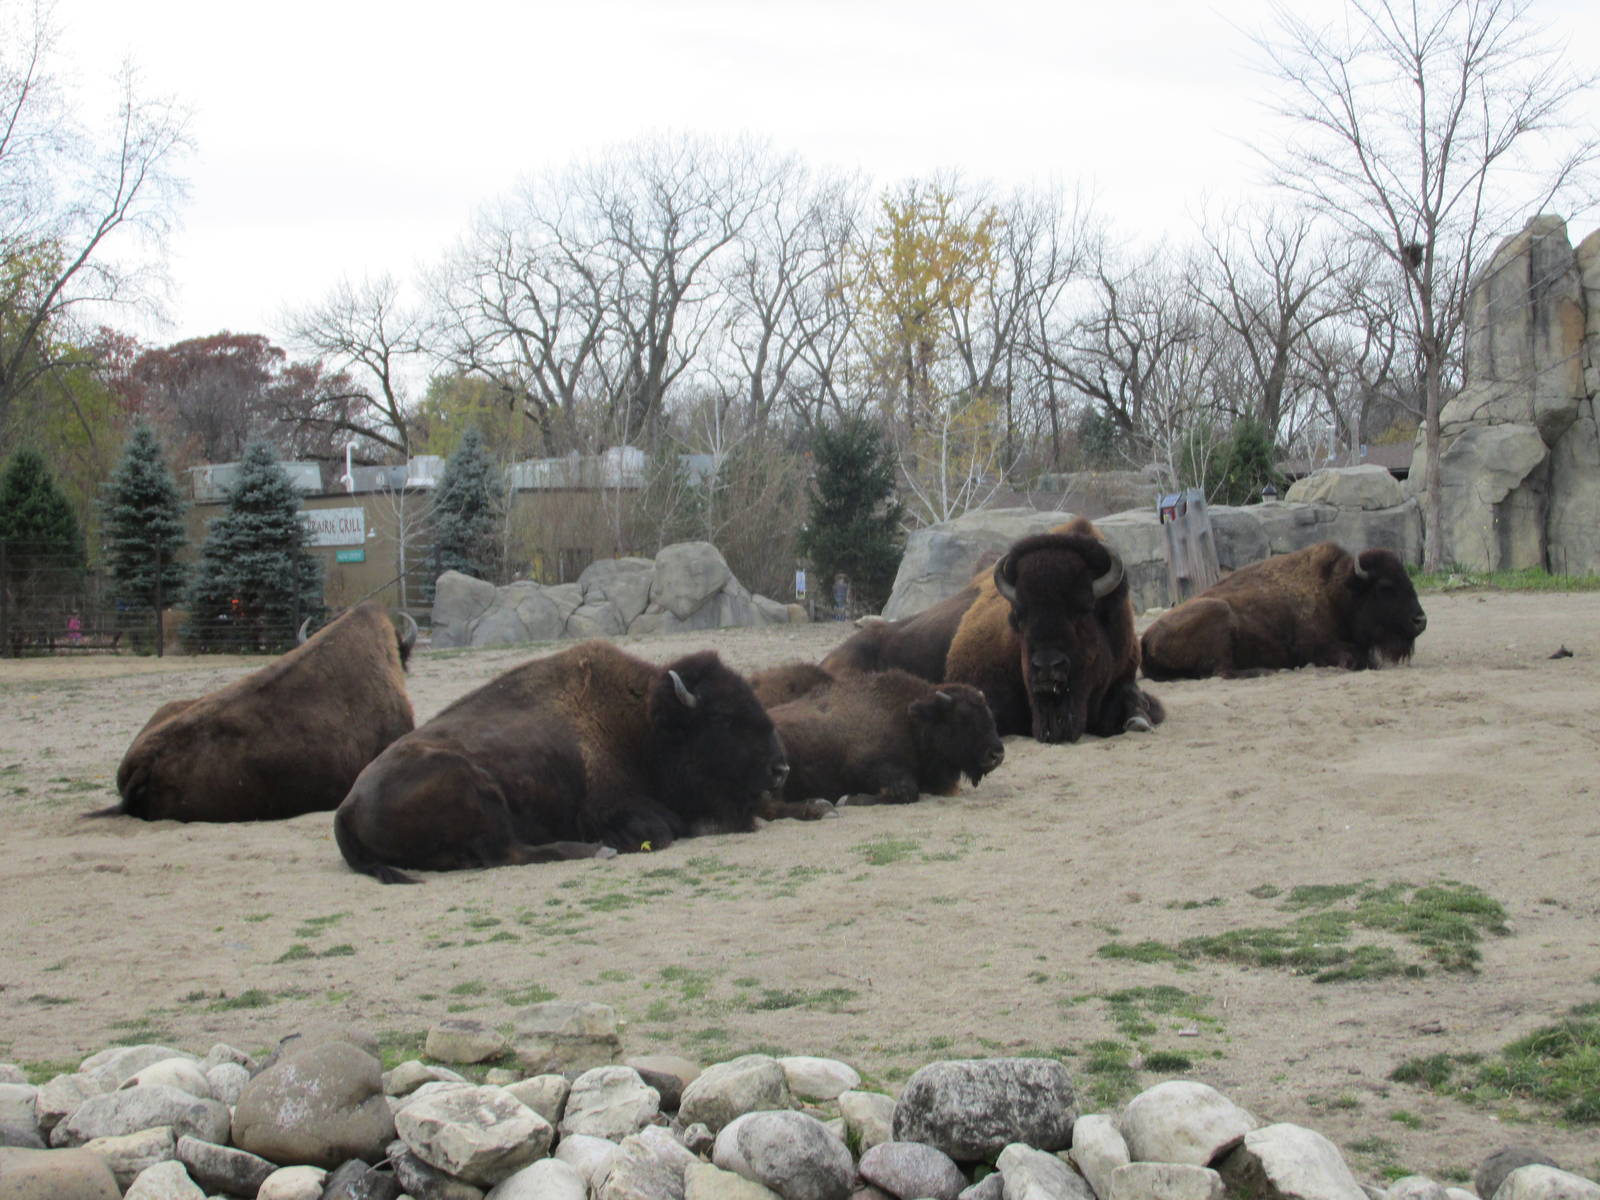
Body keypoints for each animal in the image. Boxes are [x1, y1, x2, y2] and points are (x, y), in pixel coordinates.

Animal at [334, 641, 791, 884]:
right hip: (473, 787)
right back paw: (596, 851)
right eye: (726, 720)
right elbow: (662, 829)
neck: (642, 726)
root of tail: (348, 805)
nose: (780, 769)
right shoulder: (609, 810)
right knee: (508, 852)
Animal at [770, 670, 1004, 806]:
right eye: (962, 718)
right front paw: (847, 799)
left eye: (989, 714)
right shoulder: (865, 767)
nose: (997, 754)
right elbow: (907, 791)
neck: (909, 719)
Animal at [1140, 542, 1427, 679]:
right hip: (1218, 613)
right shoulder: (1319, 648)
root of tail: (1145, 640)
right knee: (1222, 672)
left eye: (1408, 579)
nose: (1420, 620)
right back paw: (1268, 671)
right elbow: (1353, 659)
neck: (1335, 591)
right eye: (1385, 586)